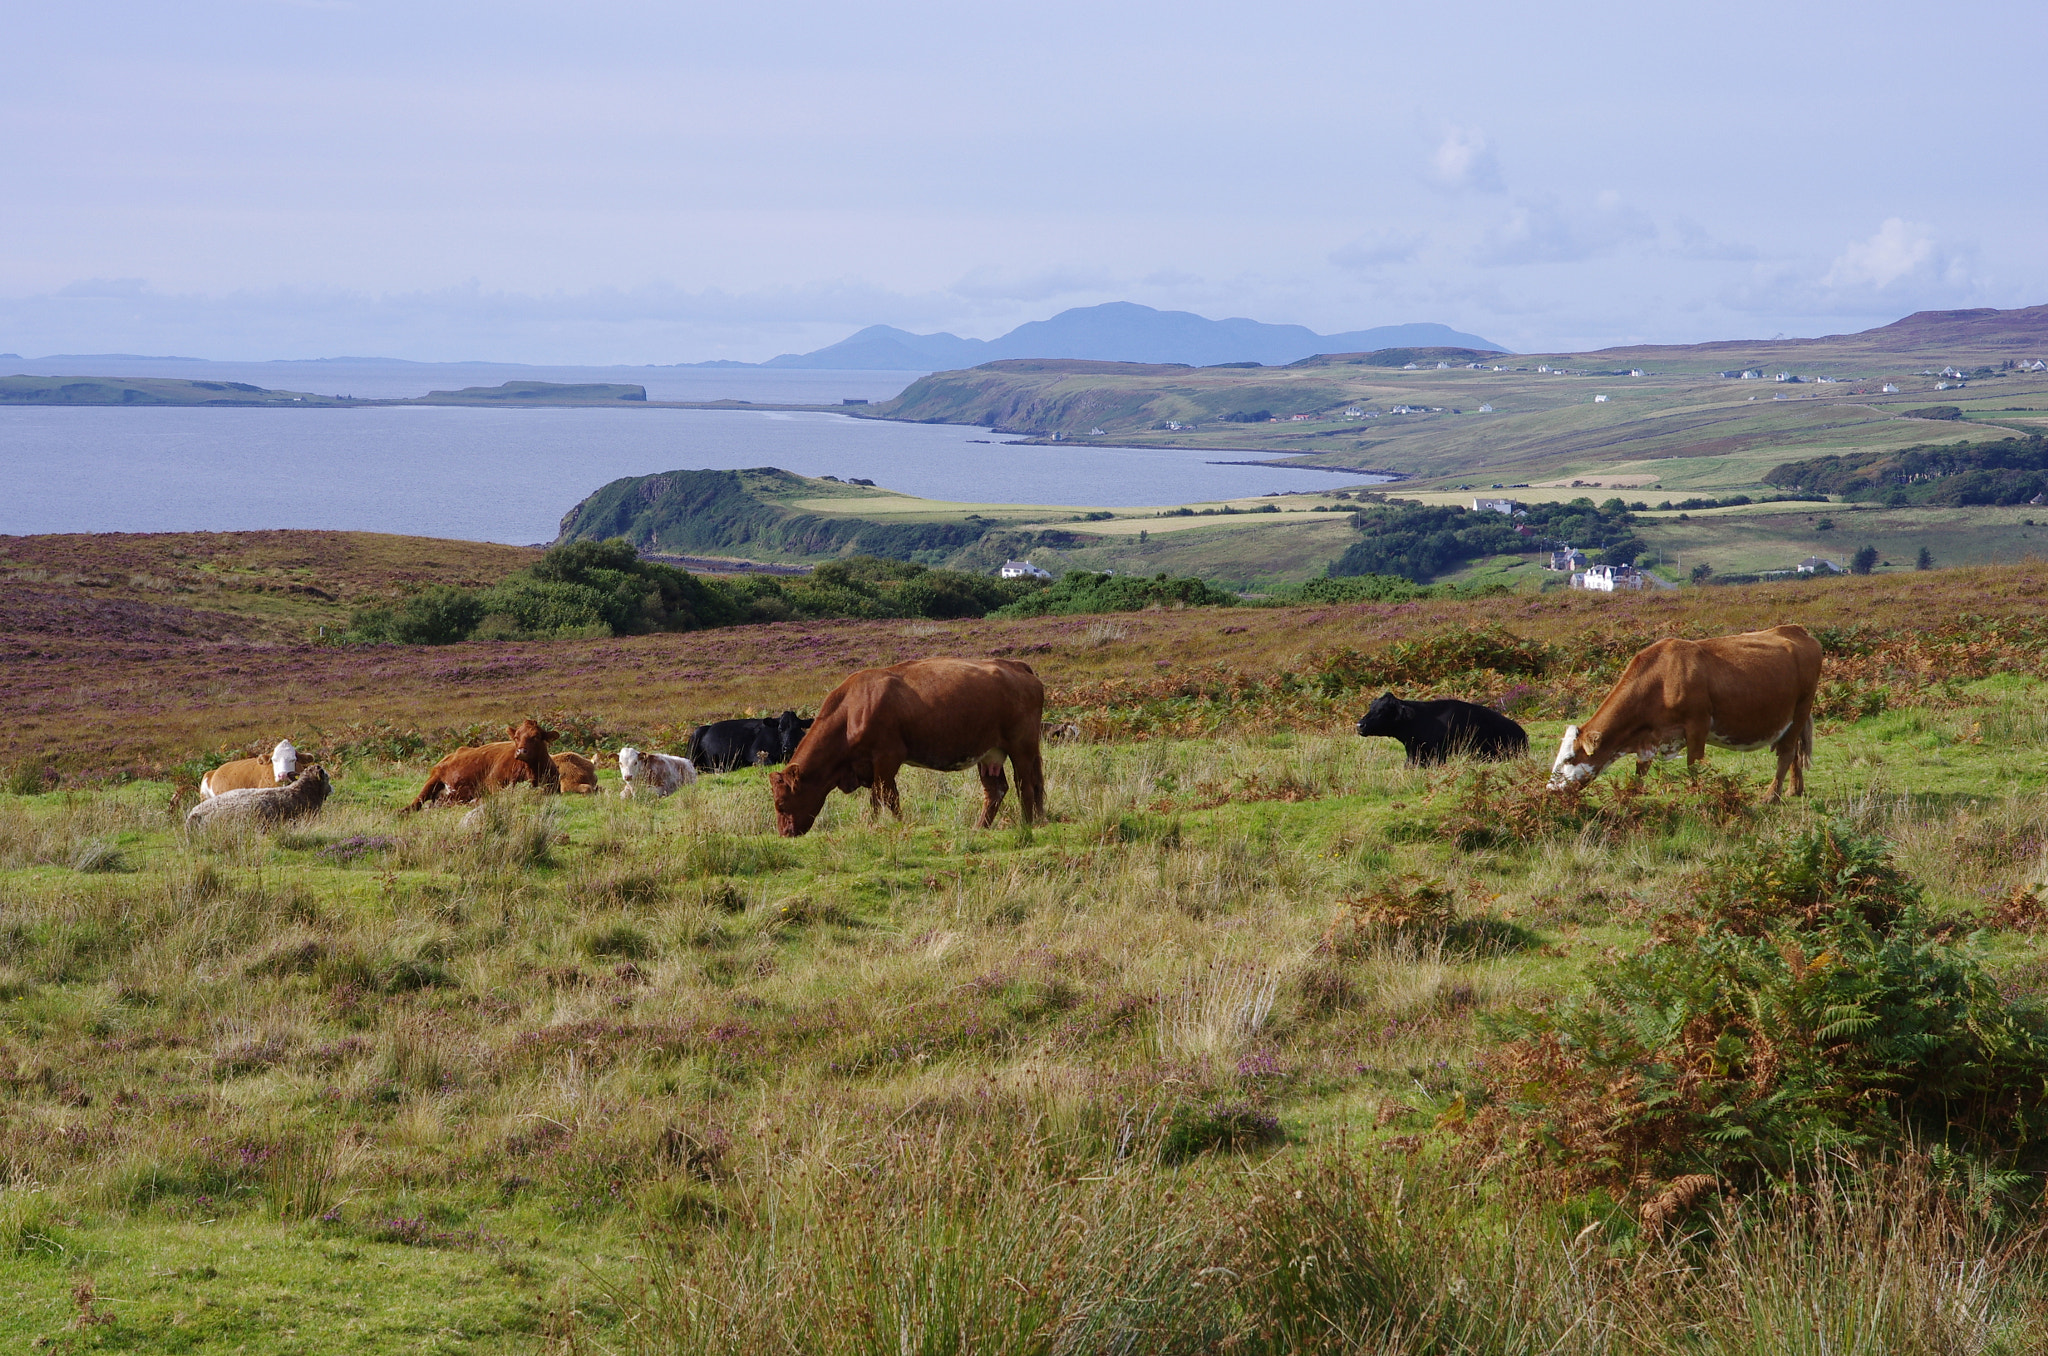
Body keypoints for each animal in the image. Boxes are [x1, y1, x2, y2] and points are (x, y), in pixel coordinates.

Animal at [405, 716, 561, 811]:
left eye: (536, 737)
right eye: (516, 737)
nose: (521, 751)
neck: (531, 772)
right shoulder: (493, 782)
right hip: (433, 780)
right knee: (415, 803)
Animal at [770, 659, 1048, 839]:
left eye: (781, 804)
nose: (785, 834)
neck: (851, 710)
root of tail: (1016, 665)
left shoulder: (887, 758)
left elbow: (883, 797)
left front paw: (885, 825)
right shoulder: (875, 768)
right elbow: (885, 797)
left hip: (1023, 746)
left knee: (1026, 784)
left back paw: (1028, 824)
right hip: (989, 754)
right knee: (996, 790)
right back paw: (980, 827)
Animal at [1548, 622, 1826, 802]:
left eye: (1569, 759)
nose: (1550, 790)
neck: (1661, 680)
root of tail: (1797, 630)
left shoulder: (1698, 725)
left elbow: (1694, 766)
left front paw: (1696, 793)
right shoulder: (1649, 736)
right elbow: (1641, 768)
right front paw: (1632, 794)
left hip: (1800, 709)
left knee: (1786, 752)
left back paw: (1772, 795)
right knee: (1795, 752)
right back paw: (1793, 789)